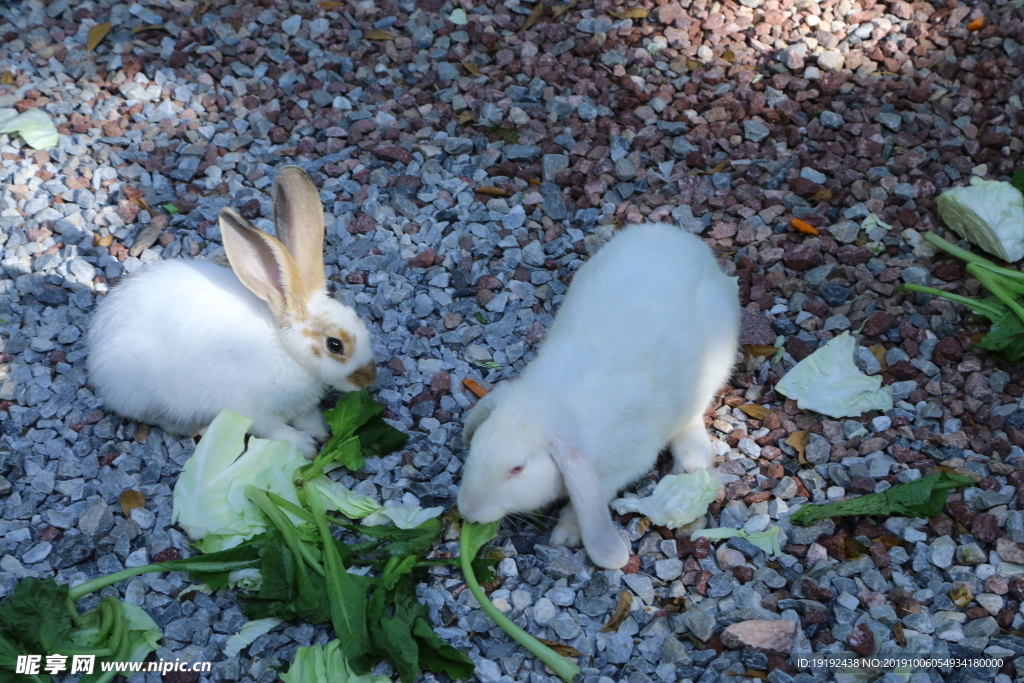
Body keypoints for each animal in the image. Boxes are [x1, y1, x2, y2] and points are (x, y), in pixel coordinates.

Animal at [87, 165, 376, 456]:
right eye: (335, 345)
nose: (369, 379)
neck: (287, 349)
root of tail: (97, 338)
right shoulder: (252, 411)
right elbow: (275, 430)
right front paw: (304, 446)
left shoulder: (300, 405)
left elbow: (307, 416)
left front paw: (319, 431)